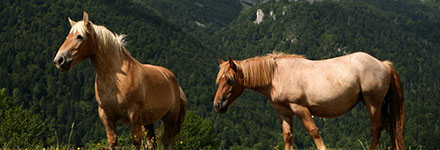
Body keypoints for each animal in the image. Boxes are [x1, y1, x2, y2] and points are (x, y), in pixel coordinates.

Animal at [54, 12, 186, 149]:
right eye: (68, 36)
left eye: (79, 36)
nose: (59, 60)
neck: (114, 78)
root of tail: (171, 78)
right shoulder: (106, 116)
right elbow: (112, 142)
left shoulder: (134, 115)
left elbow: (136, 143)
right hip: (148, 120)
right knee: (151, 143)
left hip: (170, 118)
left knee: (167, 141)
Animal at [215, 51, 404, 150]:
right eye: (219, 80)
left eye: (229, 80)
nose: (217, 105)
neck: (277, 74)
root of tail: (383, 64)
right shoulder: (284, 113)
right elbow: (288, 136)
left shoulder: (300, 108)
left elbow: (314, 132)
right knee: (390, 128)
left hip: (373, 104)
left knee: (377, 128)